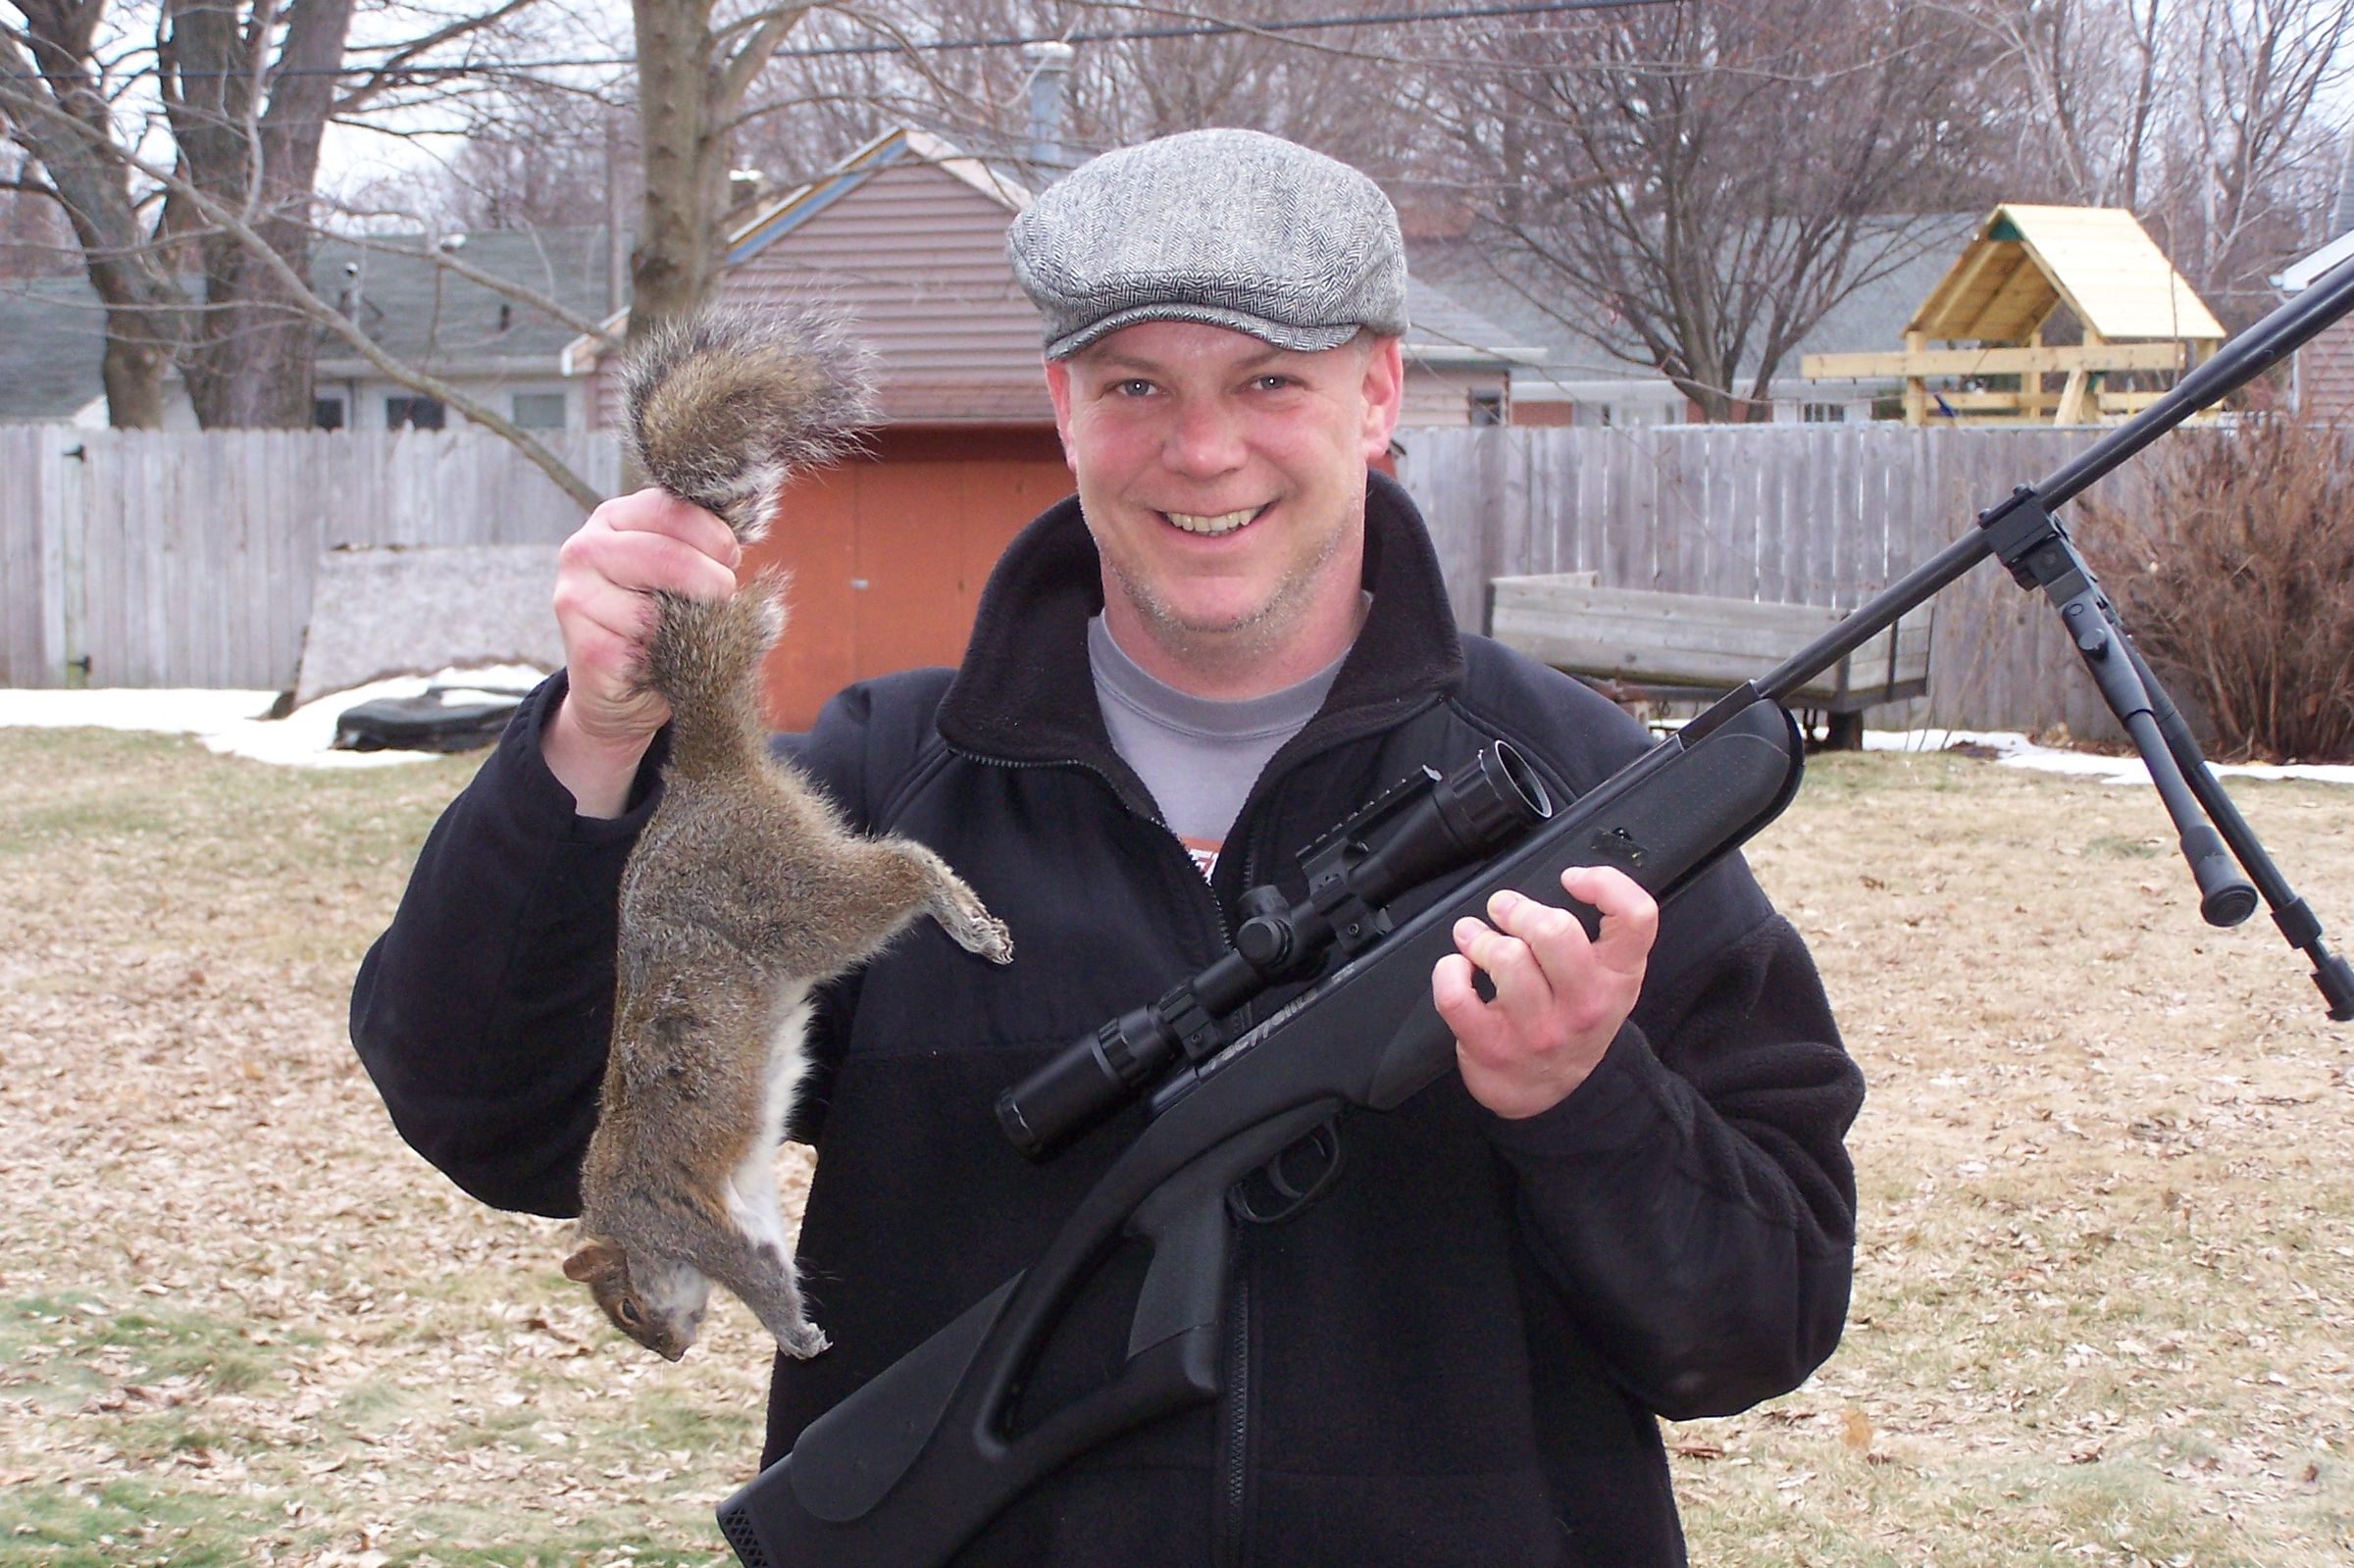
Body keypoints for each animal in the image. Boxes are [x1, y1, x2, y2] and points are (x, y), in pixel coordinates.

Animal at [561, 309, 1015, 1363]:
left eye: (626, 1307)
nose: (671, 1350)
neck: (633, 1219)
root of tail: (702, 779)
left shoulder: (686, 1217)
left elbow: (756, 1273)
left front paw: (796, 1334)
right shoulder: (743, 1203)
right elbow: (772, 1251)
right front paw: (803, 1328)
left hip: (786, 898)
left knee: (899, 865)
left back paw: (967, 917)